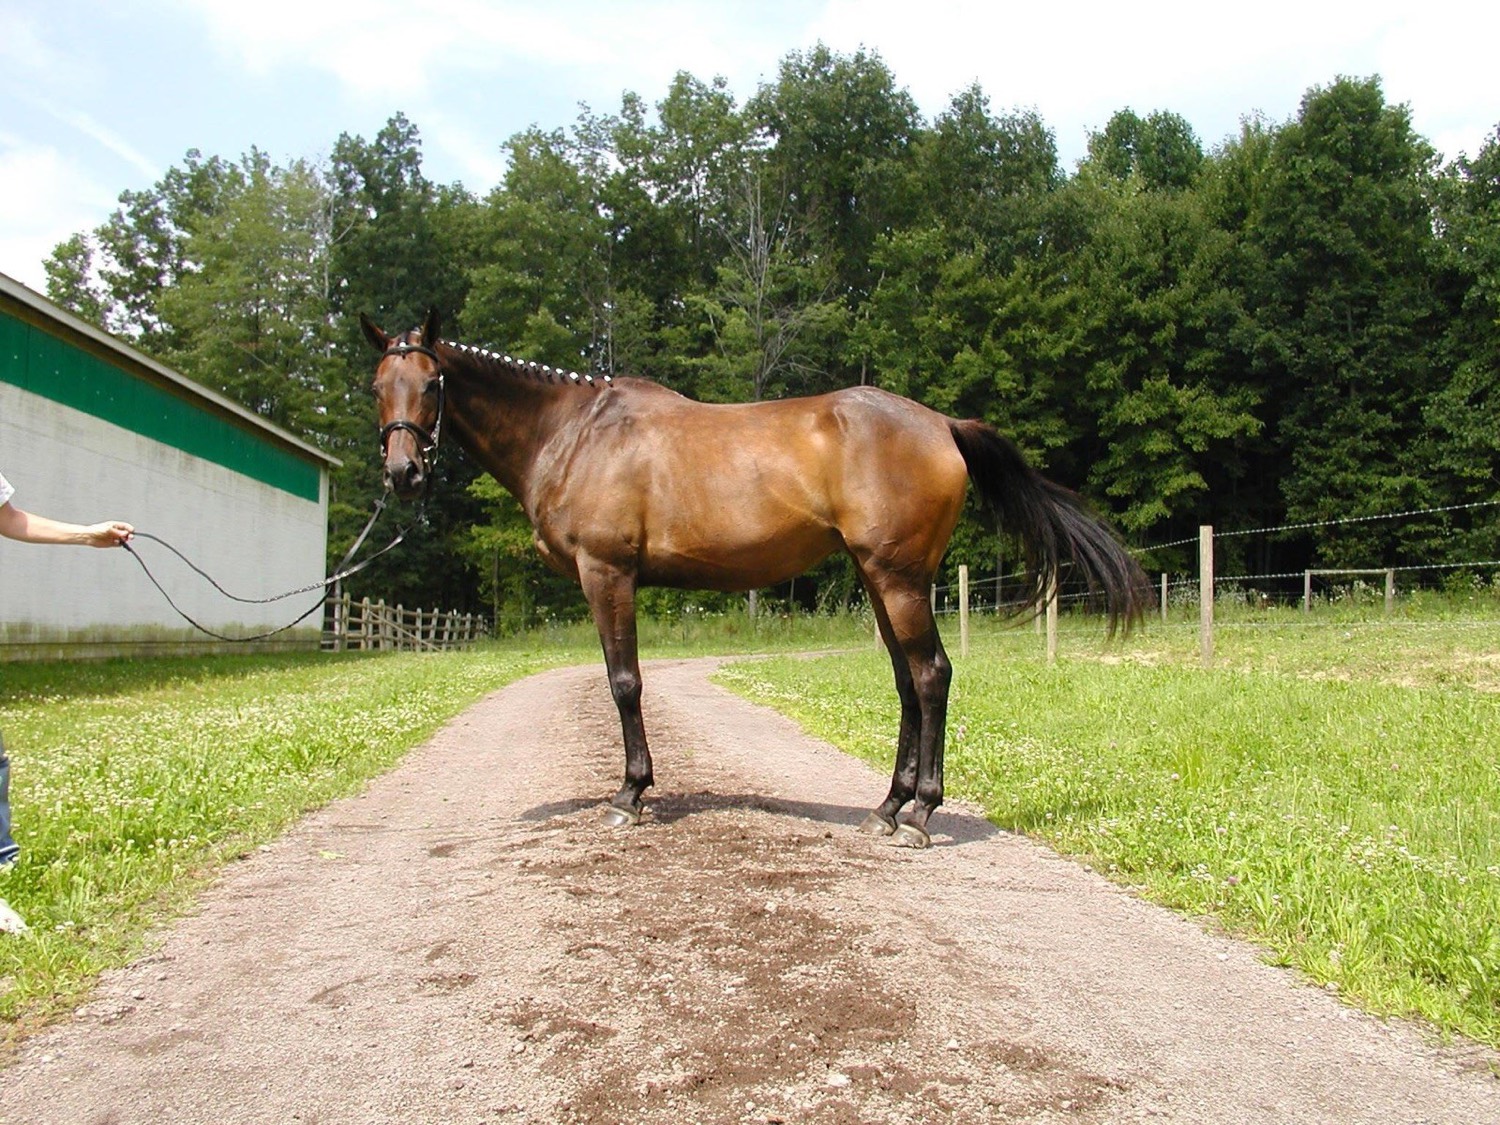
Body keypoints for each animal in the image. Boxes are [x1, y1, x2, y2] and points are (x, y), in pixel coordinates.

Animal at [361, 309, 1148, 848]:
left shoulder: (606, 573)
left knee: (930, 676)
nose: (404, 474)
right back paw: (888, 807)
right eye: (377, 386)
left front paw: (630, 793)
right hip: (879, 580)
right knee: (906, 682)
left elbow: (624, 683)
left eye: (432, 382)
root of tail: (941, 424)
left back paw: (923, 812)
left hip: (898, 579)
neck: (576, 431)